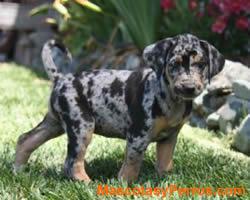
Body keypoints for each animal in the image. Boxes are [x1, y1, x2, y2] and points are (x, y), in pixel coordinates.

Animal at [13, 33, 225, 183]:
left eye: (201, 64)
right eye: (174, 64)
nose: (189, 87)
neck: (171, 99)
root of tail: (61, 79)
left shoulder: (169, 138)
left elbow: (165, 165)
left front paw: (167, 181)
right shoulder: (138, 137)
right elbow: (131, 166)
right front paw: (124, 186)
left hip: (54, 124)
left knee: (26, 139)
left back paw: (17, 170)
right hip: (82, 126)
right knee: (72, 163)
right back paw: (87, 184)